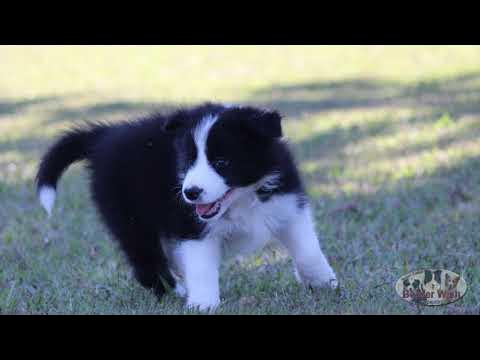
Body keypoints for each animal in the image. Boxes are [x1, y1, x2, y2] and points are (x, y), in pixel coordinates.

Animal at [36, 102, 338, 310]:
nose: (191, 193)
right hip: (131, 218)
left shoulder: (286, 202)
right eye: (188, 162)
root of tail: (104, 137)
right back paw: (176, 290)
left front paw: (323, 281)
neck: (242, 199)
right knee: (145, 262)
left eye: (222, 162)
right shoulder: (190, 225)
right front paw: (203, 304)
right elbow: (201, 265)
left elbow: (307, 248)